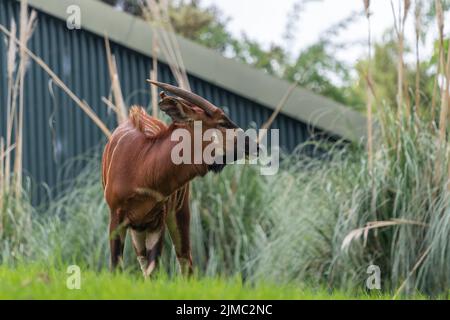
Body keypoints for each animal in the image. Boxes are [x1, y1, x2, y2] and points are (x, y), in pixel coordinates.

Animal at [102, 80, 256, 278]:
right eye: (222, 122)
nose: (255, 145)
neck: (141, 165)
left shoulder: (157, 221)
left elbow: (154, 269)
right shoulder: (117, 217)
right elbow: (117, 266)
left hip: (177, 214)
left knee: (185, 259)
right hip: (140, 227)